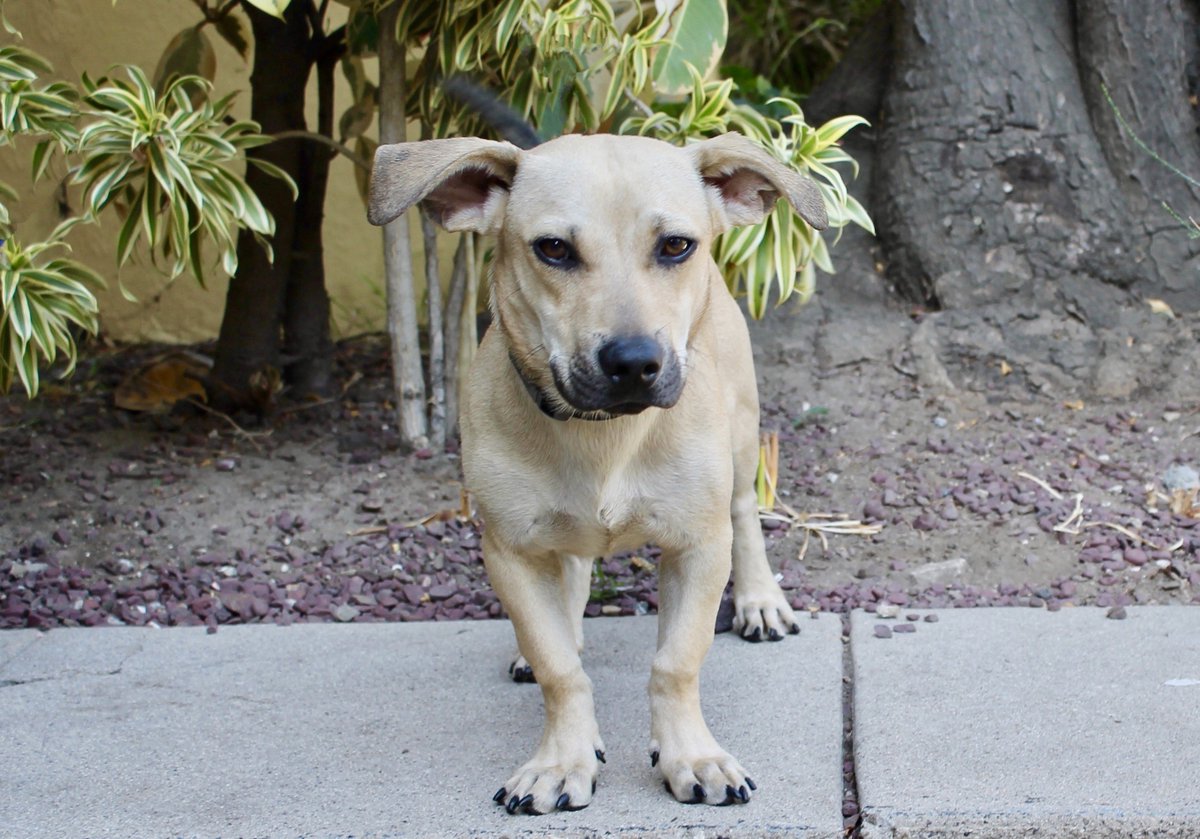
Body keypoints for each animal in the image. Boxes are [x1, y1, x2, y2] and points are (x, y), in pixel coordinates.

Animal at [369, 131, 830, 816]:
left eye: (676, 245)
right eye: (553, 248)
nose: (634, 361)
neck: (604, 435)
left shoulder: (697, 545)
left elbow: (677, 661)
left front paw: (691, 755)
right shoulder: (510, 551)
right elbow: (559, 666)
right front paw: (562, 759)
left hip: (744, 441)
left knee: (745, 514)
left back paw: (759, 600)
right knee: (572, 574)